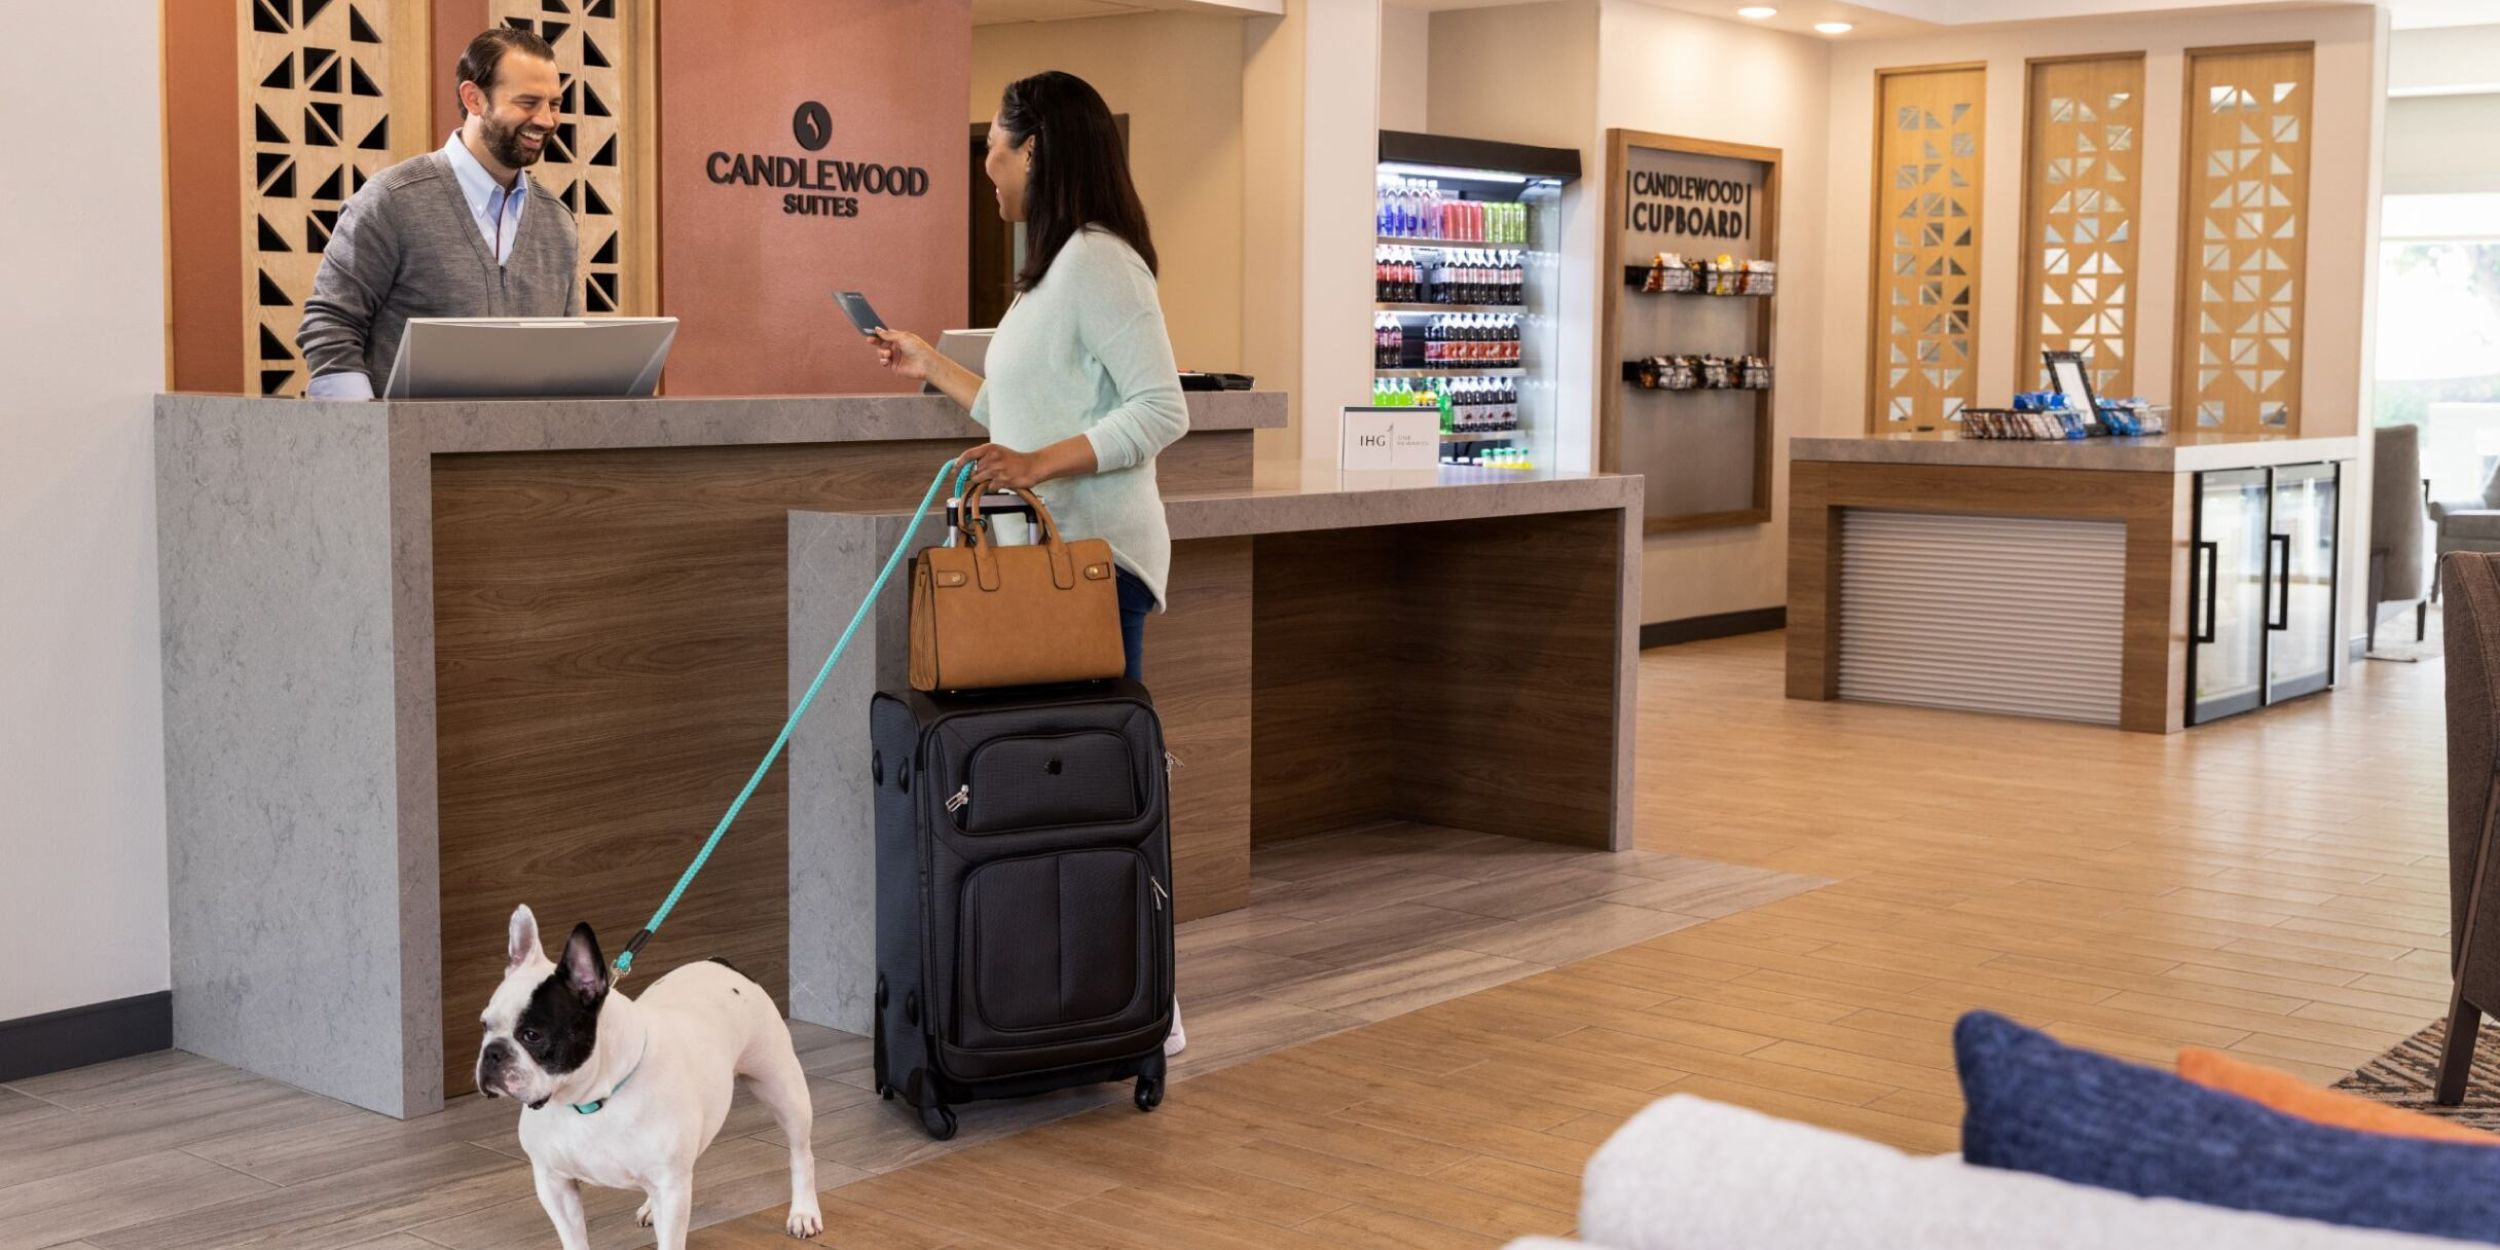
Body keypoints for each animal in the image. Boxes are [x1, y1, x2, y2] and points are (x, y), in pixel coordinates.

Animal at [470, 910, 820, 1250]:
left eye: (532, 1035)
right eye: (484, 1026)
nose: (493, 1052)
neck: (590, 1099)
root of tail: (720, 963)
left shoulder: (671, 1186)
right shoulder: (554, 1183)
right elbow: (574, 1238)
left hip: (782, 1088)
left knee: (800, 1153)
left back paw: (803, 1212)